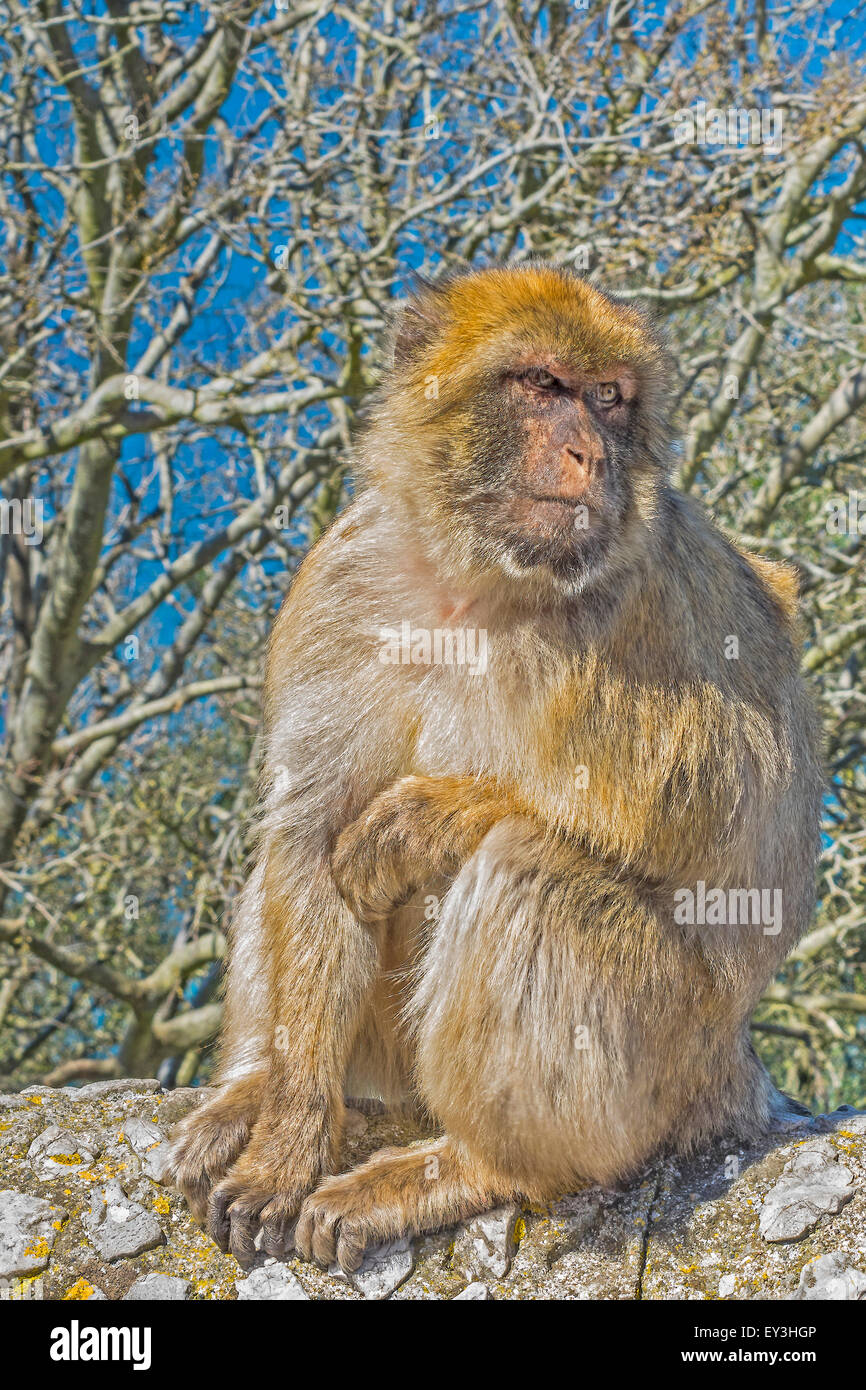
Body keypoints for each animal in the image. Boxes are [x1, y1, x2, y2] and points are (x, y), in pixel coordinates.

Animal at [166, 261, 822, 1273]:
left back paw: (477, 1167)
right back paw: (256, 1089)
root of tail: (735, 1068)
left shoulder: (668, 588)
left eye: (608, 398)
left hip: (671, 1062)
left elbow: (736, 807)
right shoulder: (341, 583)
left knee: (530, 872)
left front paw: (432, 817)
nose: (590, 454)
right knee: (287, 862)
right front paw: (287, 1137)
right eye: (542, 384)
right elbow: (311, 831)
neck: (473, 583)